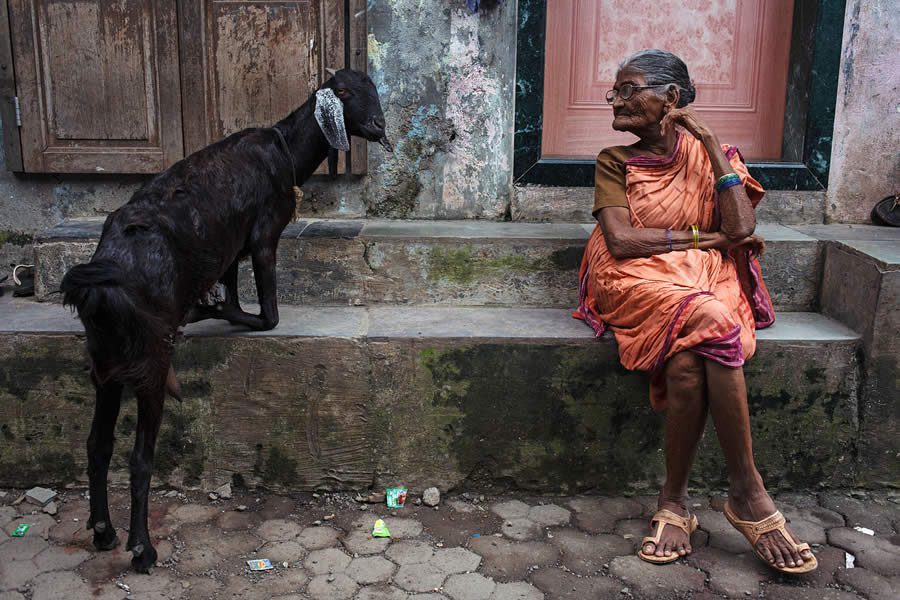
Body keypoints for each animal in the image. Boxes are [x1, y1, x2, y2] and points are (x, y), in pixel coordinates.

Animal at [59, 68, 390, 576]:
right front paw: (207, 309)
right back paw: (141, 549)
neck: (284, 148)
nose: (378, 126)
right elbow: (267, 315)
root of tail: (102, 276)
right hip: (149, 359)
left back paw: (103, 531)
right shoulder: (263, 235)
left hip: (104, 361)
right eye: (346, 92)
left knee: (97, 444)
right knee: (139, 458)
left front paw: (207, 308)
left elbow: (233, 292)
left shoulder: (230, 249)